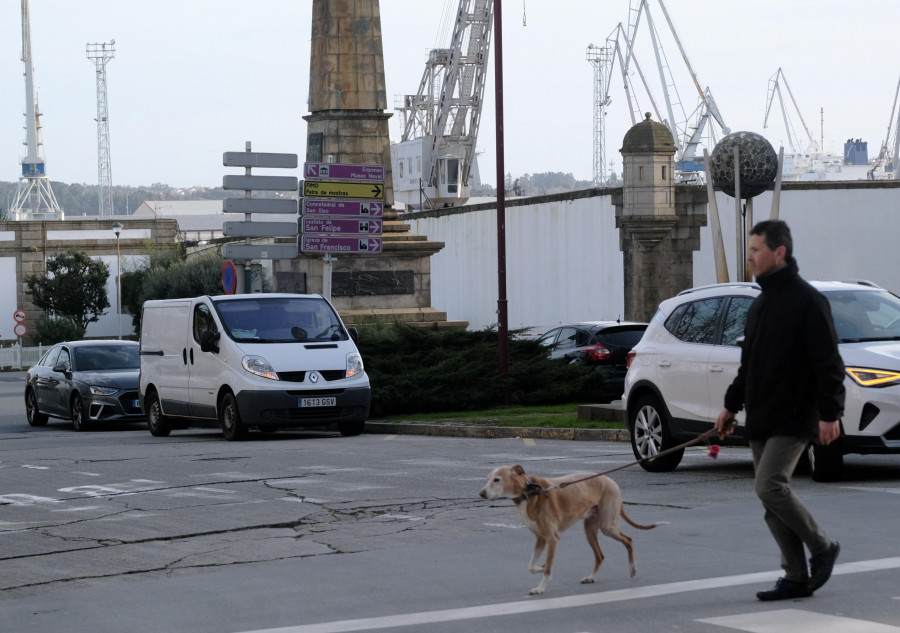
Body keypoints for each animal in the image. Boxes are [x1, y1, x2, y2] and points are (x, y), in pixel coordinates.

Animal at [482, 464, 664, 592]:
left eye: (497, 479)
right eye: (488, 478)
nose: (481, 494)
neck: (530, 494)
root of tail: (611, 482)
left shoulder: (552, 539)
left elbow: (547, 568)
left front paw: (541, 588)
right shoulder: (541, 538)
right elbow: (532, 566)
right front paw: (541, 568)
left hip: (608, 527)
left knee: (629, 540)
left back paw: (632, 569)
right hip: (590, 530)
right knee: (600, 556)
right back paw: (591, 577)